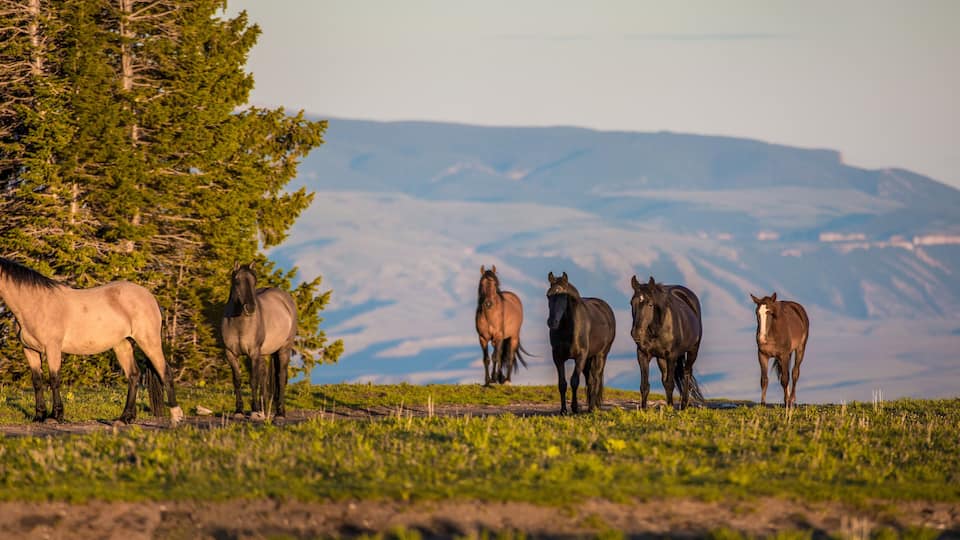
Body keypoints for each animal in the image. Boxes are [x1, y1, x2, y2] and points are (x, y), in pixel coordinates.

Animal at [0, 257, 182, 424]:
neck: (37, 303)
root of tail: (151, 298)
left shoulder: (53, 348)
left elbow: (54, 379)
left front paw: (55, 417)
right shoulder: (30, 350)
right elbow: (37, 382)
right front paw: (39, 416)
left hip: (149, 342)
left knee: (165, 372)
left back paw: (176, 416)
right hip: (123, 345)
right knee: (134, 376)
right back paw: (125, 418)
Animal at [221, 262, 298, 419]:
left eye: (254, 282)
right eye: (237, 281)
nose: (250, 308)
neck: (239, 324)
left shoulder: (253, 354)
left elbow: (253, 381)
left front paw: (254, 410)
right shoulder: (230, 354)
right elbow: (237, 380)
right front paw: (239, 411)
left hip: (284, 349)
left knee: (281, 378)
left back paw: (280, 413)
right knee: (266, 378)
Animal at [546, 271, 616, 414]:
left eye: (563, 296)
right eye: (548, 295)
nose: (552, 322)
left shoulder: (580, 356)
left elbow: (574, 381)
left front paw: (574, 407)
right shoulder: (558, 357)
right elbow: (562, 384)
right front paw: (563, 410)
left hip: (601, 355)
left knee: (596, 378)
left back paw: (592, 408)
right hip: (589, 359)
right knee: (590, 380)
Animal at [630, 275, 704, 410]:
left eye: (650, 304)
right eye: (631, 303)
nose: (636, 333)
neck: (656, 329)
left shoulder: (671, 356)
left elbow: (670, 384)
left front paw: (670, 409)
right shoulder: (642, 355)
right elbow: (645, 386)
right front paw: (643, 410)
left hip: (693, 350)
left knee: (687, 373)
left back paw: (684, 405)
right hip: (661, 359)